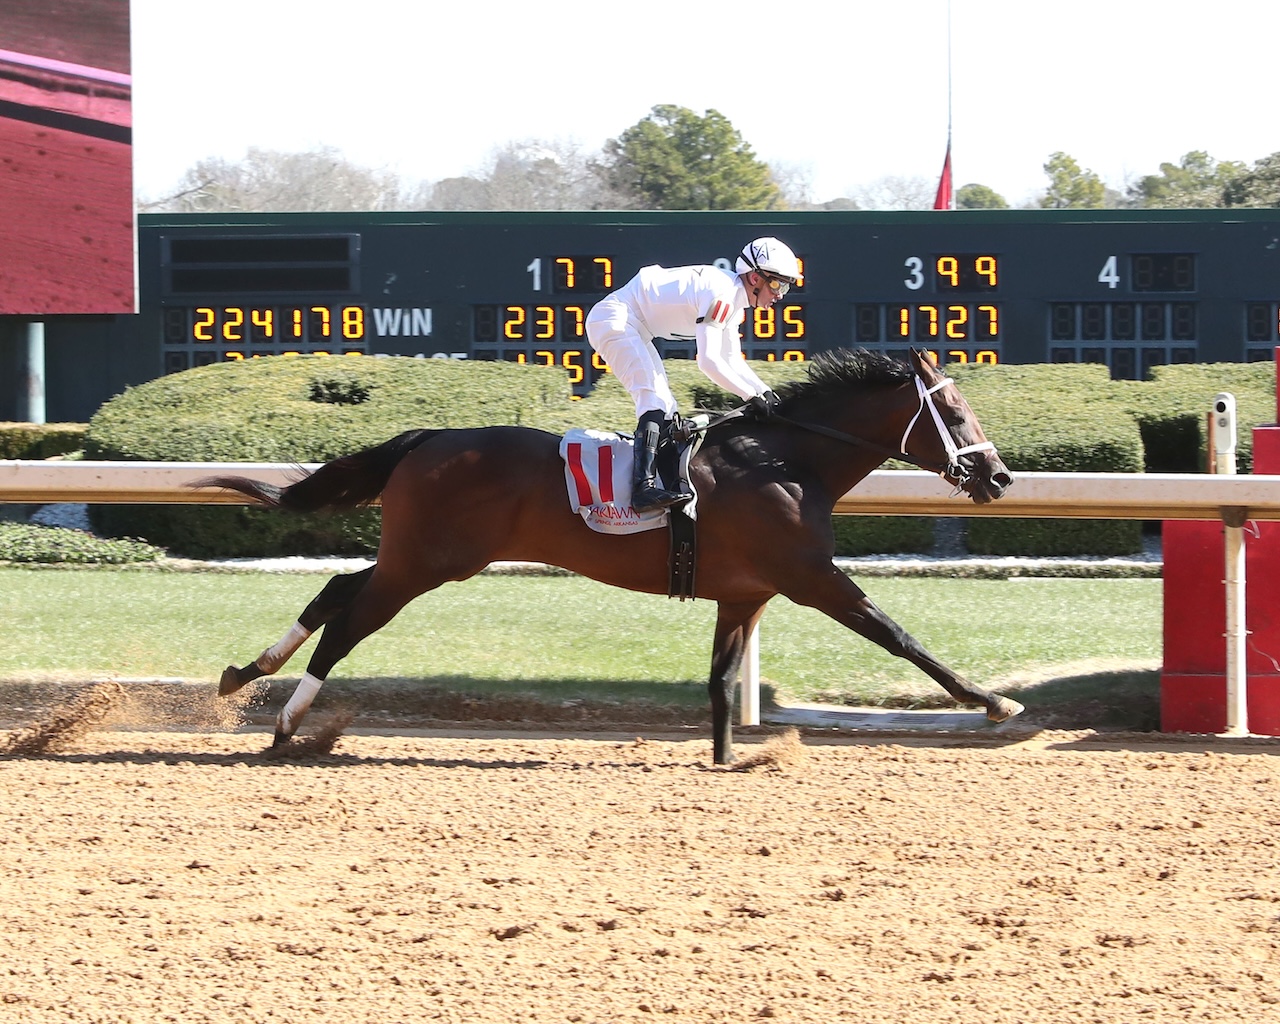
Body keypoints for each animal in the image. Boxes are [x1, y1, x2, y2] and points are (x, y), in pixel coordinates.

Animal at [202, 348, 1018, 762]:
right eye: (953, 413)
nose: (999, 477)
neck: (786, 459)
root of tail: (426, 438)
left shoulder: (743, 594)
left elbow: (722, 679)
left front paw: (728, 755)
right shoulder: (812, 578)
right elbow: (902, 638)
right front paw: (992, 702)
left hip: (420, 557)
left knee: (336, 589)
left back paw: (245, 674)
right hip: (425, 565)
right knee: (349, 622)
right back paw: (286, 726)